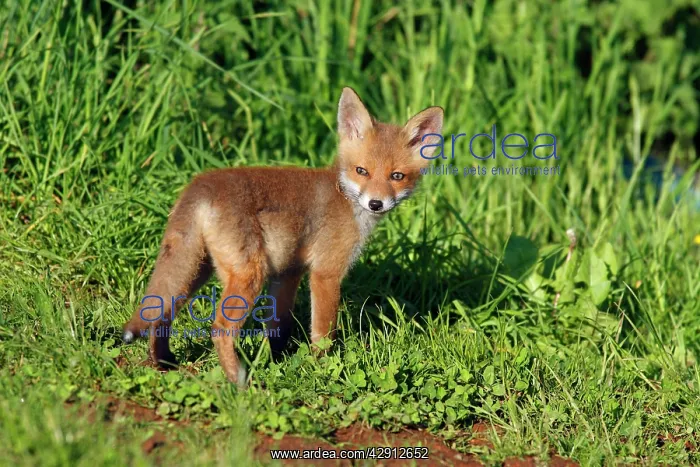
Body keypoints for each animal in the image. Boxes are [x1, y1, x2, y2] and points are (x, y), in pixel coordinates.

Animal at [122, 87, 443, 386]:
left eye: (397, 176)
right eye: (361, 171)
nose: (376, 203)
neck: (345, 197)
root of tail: (201, 185)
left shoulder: (288, 271)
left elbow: (278, 326)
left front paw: (279, 361)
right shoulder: (325, 273)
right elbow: (323, 332)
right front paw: (321, 368)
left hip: (195, 270)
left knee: (160, 313)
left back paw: (165, 363)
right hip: (248, 274)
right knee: (219, 328)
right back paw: (238, 381)